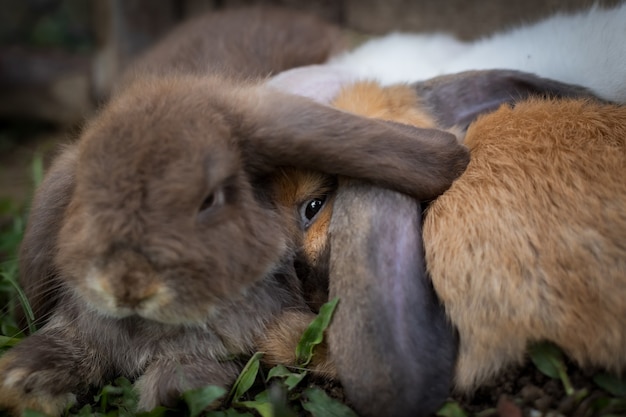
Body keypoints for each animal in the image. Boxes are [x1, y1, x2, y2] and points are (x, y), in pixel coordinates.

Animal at [0, 7, 468, 416]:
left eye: (209, 200)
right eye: (87, 190)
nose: (128, 285)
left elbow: (186, 377)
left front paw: (172, 396)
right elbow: (58, 350)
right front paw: (22, 384)